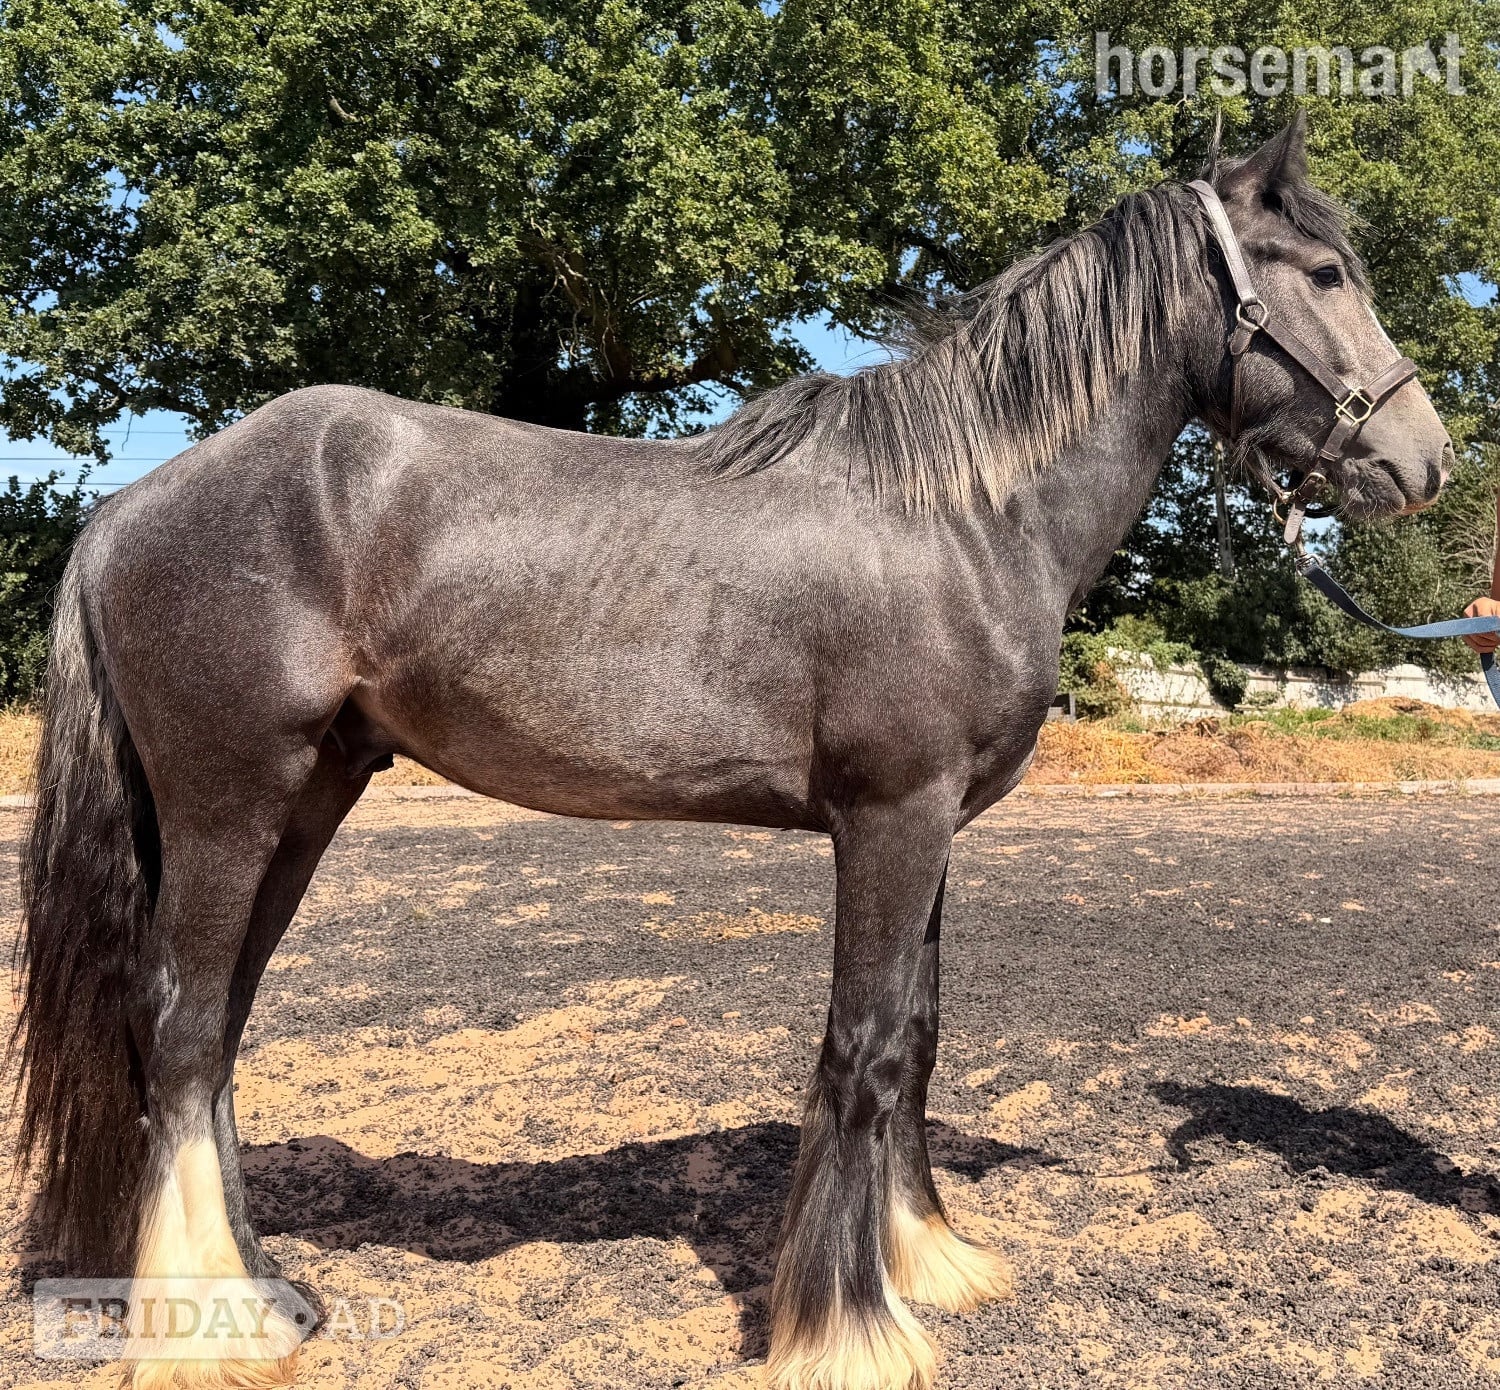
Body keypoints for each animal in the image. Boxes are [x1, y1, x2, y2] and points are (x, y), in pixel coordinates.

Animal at [13, 112, 1452, 1390]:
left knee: (212, 1033)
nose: (1424, 460)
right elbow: (862, 1048)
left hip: (306, 800)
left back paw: (254, 1290)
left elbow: (915, 1035)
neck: (965, 513)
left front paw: (926, 1259)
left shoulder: (933, 827)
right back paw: (216, 1326)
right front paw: (849, 1328)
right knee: (181, 1027)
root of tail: (131, 504)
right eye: (1324, 274)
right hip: (229, 804)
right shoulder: (892, 815)